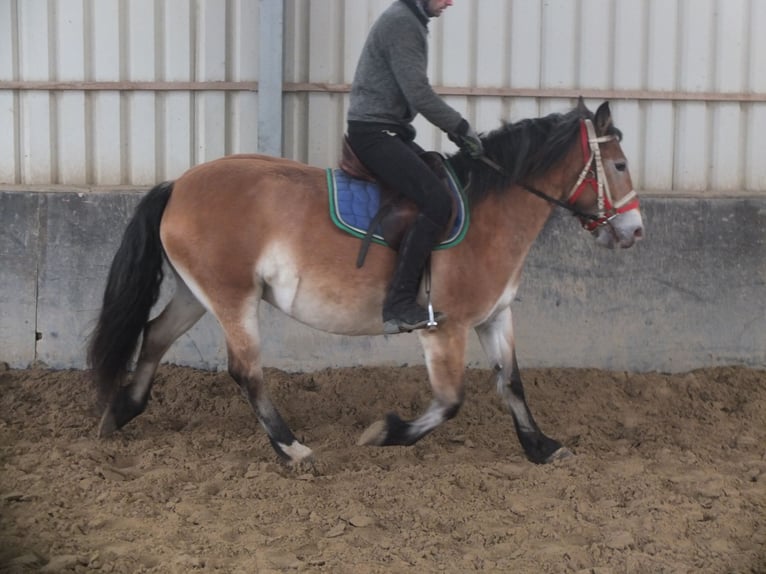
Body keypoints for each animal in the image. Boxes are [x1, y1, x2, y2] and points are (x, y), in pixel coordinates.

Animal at [87, 99, 644, 468]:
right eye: (618, 164)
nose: (635, 231)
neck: (491, 213)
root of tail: (178, 185)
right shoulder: (445, 329)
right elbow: (450, 400)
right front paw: (385, 433)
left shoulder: (494, 317)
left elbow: (512, 383)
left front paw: (541, 447)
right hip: (232, 297)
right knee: (246, 371)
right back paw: (291, 448)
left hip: (195, 292)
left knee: (155, 335)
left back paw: (121, 412)